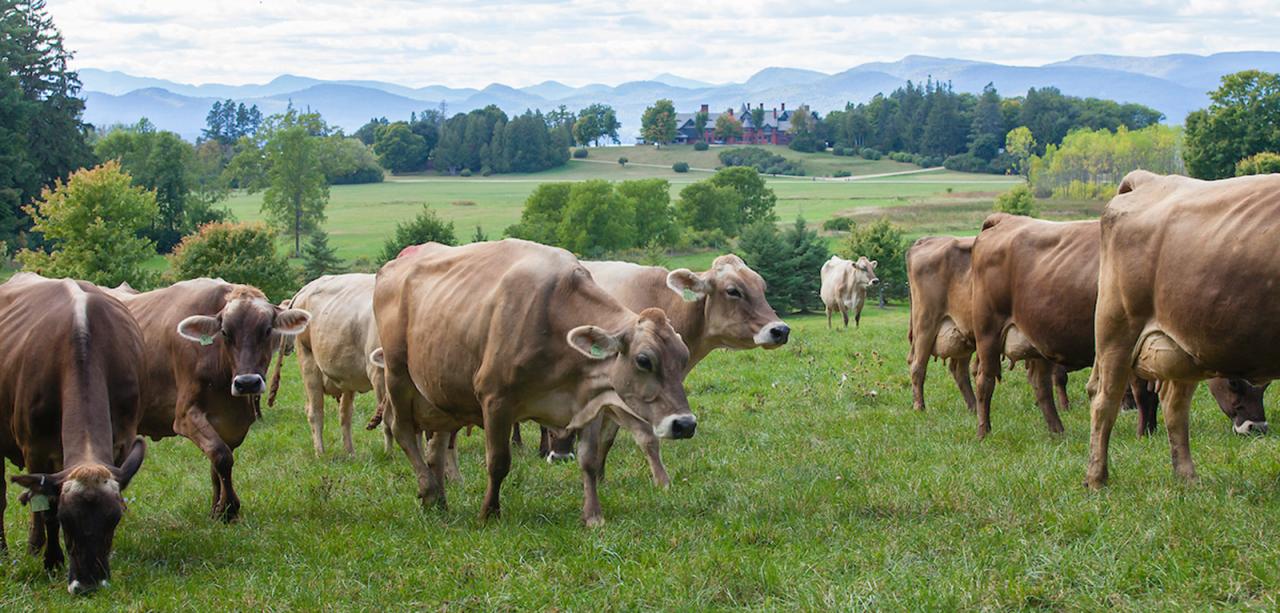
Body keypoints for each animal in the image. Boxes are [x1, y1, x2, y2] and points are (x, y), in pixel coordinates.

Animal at [0, 274, 147, 594]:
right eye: (67, 519)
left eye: (114, 518)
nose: (88, 584)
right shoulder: (36, 449)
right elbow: (46, 508)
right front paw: (53, 560)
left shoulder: (122, 440)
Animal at [115, 278, 311, 521]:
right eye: (225, 332)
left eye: (267, 330)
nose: (247, 383)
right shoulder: (185, 415)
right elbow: (221, 456)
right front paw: (229, 507)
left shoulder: (234, 422)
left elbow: (217, 465)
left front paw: (217, 509)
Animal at [373, 239, 696, 526]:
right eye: (643, 360)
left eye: (683, 357)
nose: (685, 424)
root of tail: (392, 266)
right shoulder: (495, 399)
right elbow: (498, 461)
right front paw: (489, 513)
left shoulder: (589, 399)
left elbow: (589, 461)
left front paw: (593, 515)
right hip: (398, 375)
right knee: (402, 431)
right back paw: (428, 489)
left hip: (440, 393)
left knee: (436, 448)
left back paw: (439, 499)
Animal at [1085, 171, 1280, 488]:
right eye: (1233, 383)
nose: (1258, 428)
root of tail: (1150, 179)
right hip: (1116, 331)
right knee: (1104, 402)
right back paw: (1096, 479)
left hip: (1184, 347)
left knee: (1175, 407)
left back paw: (1187, 476)